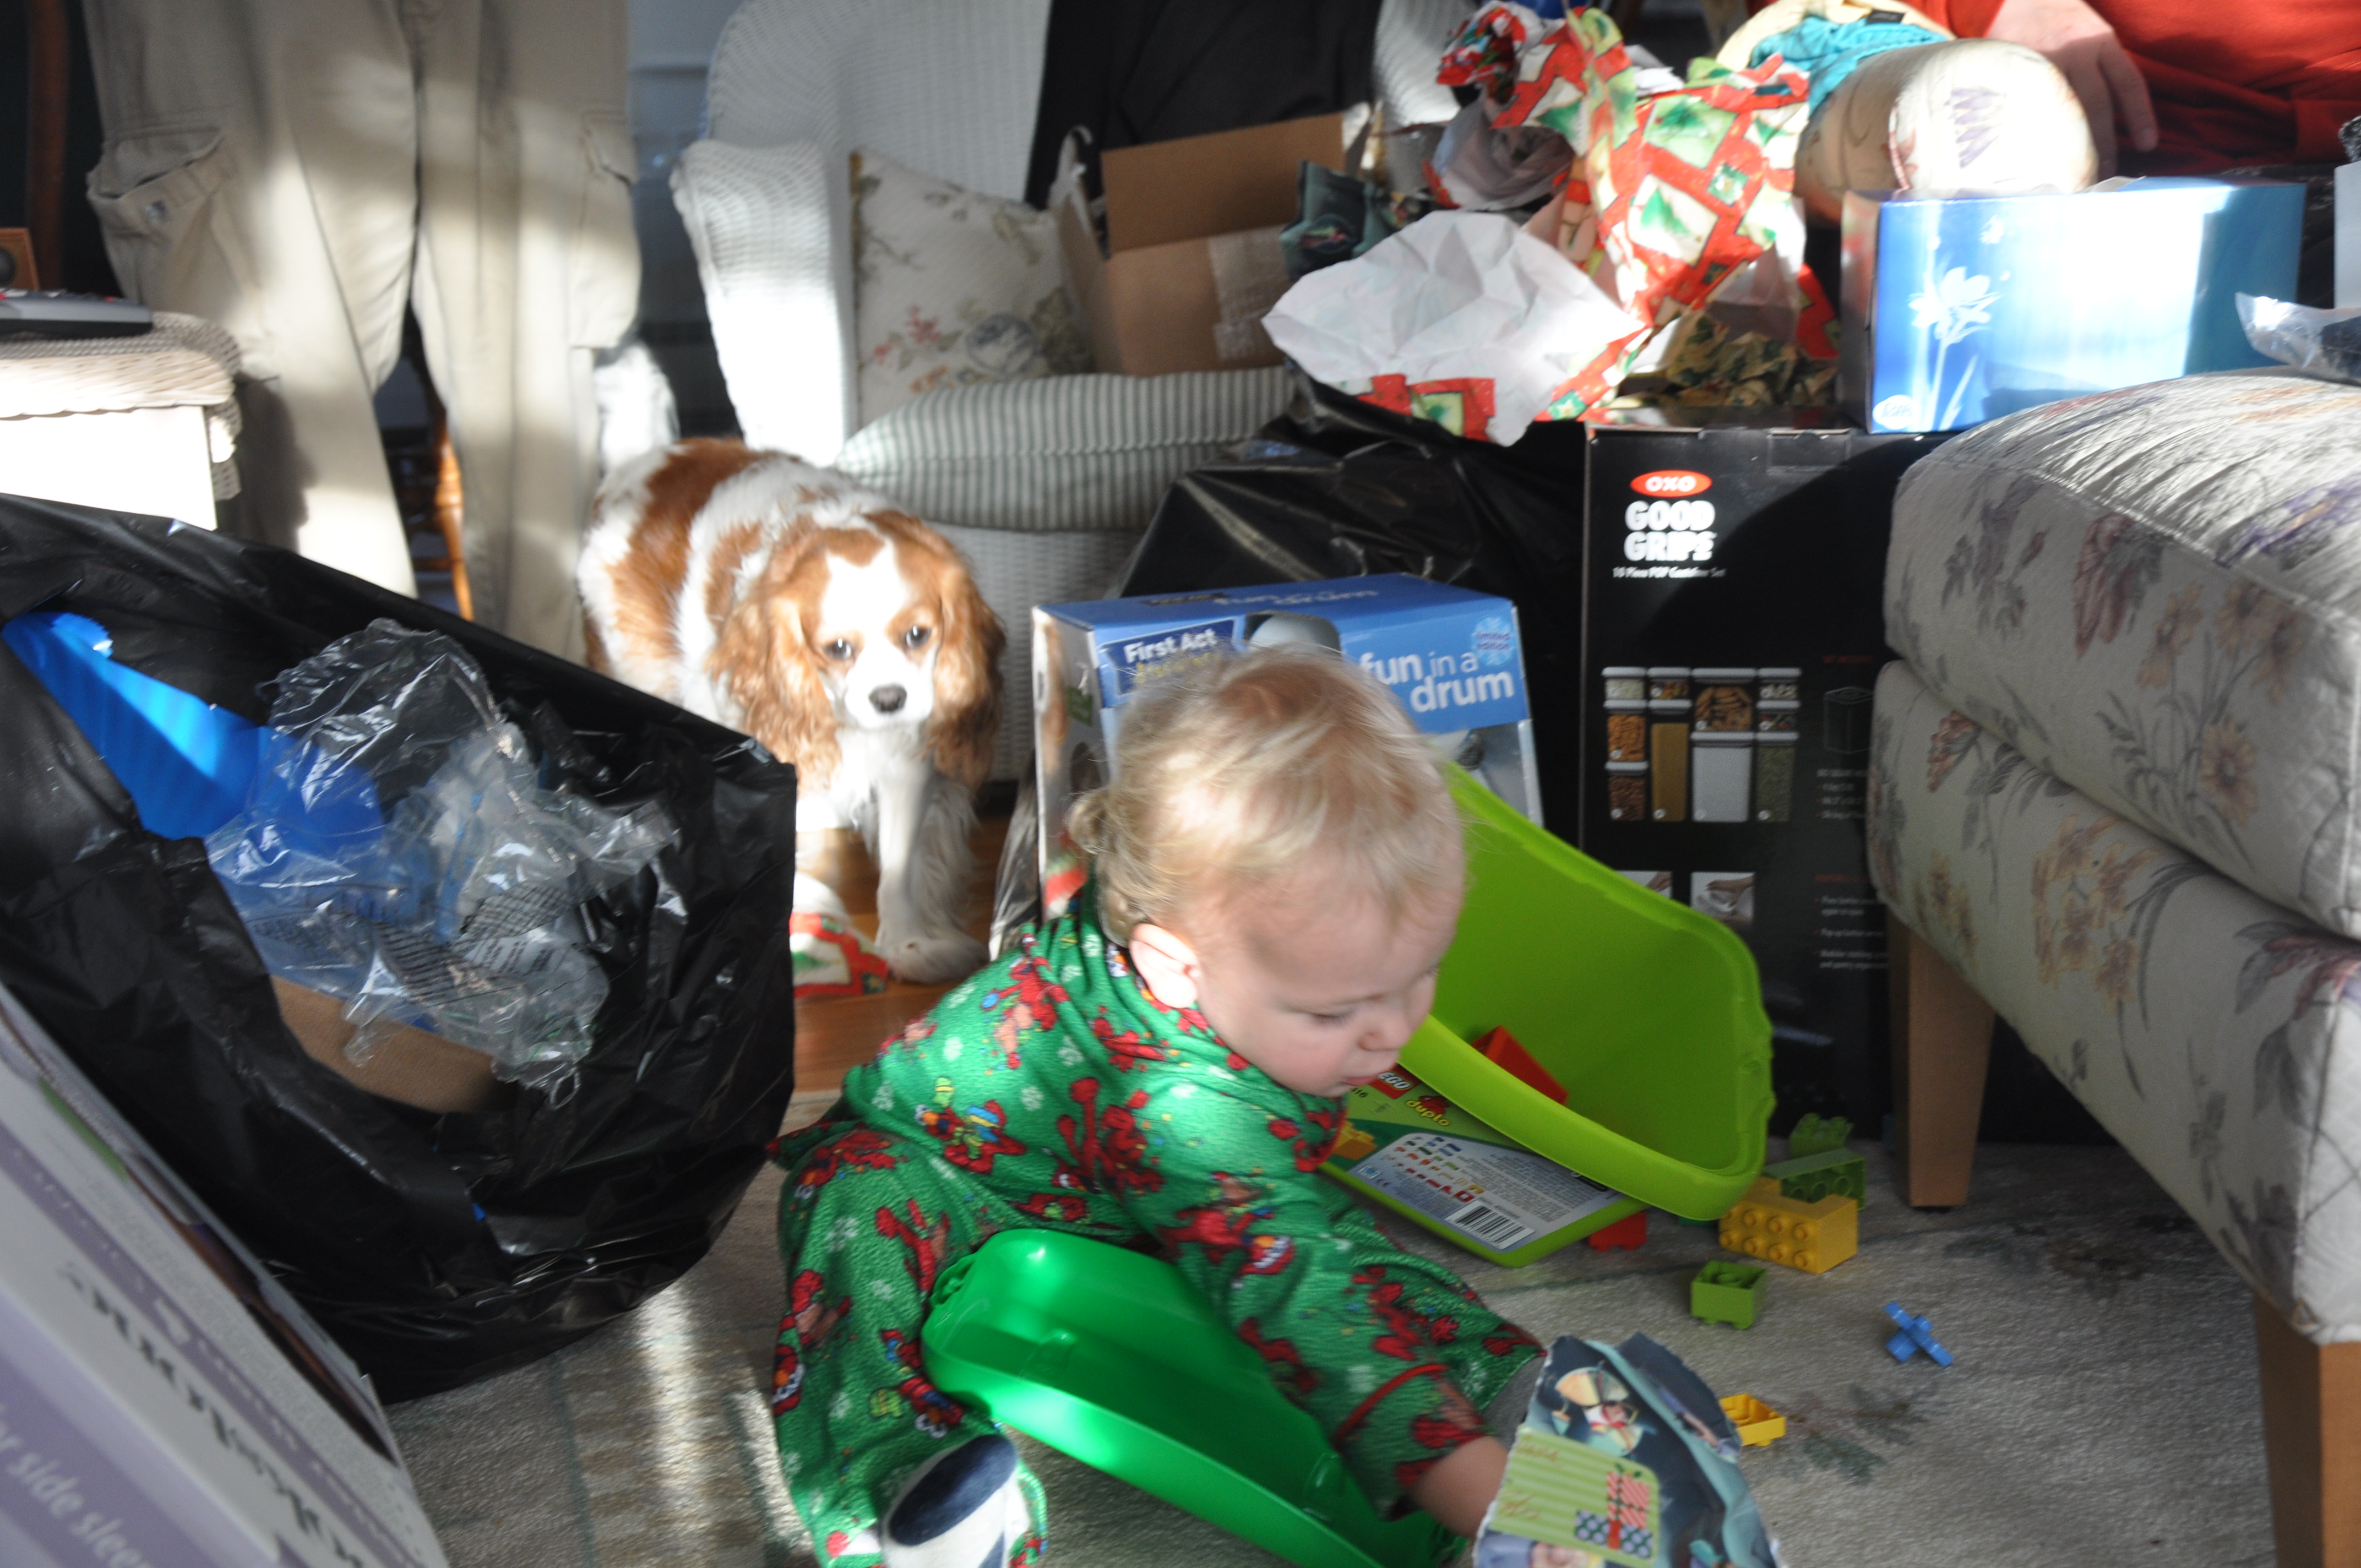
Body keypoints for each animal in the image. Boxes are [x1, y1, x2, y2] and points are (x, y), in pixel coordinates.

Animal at [579, 439, 1003, 984]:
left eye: (918, 635)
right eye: (838, 648)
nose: (889, 699)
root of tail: (646, 458)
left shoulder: (906, 761)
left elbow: (900, 865)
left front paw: (908, 945)